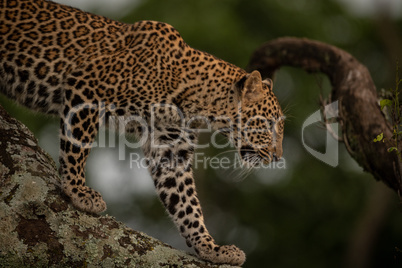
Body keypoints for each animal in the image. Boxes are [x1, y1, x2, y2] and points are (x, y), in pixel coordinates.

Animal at [0, 0, 284, 264]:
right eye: (268, 124)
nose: (278, 157)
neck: (197, 101)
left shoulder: (170, 146)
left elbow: (186, 203)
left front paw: (210, 248)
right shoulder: (86, 89)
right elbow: (76, 146)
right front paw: (78, 191)